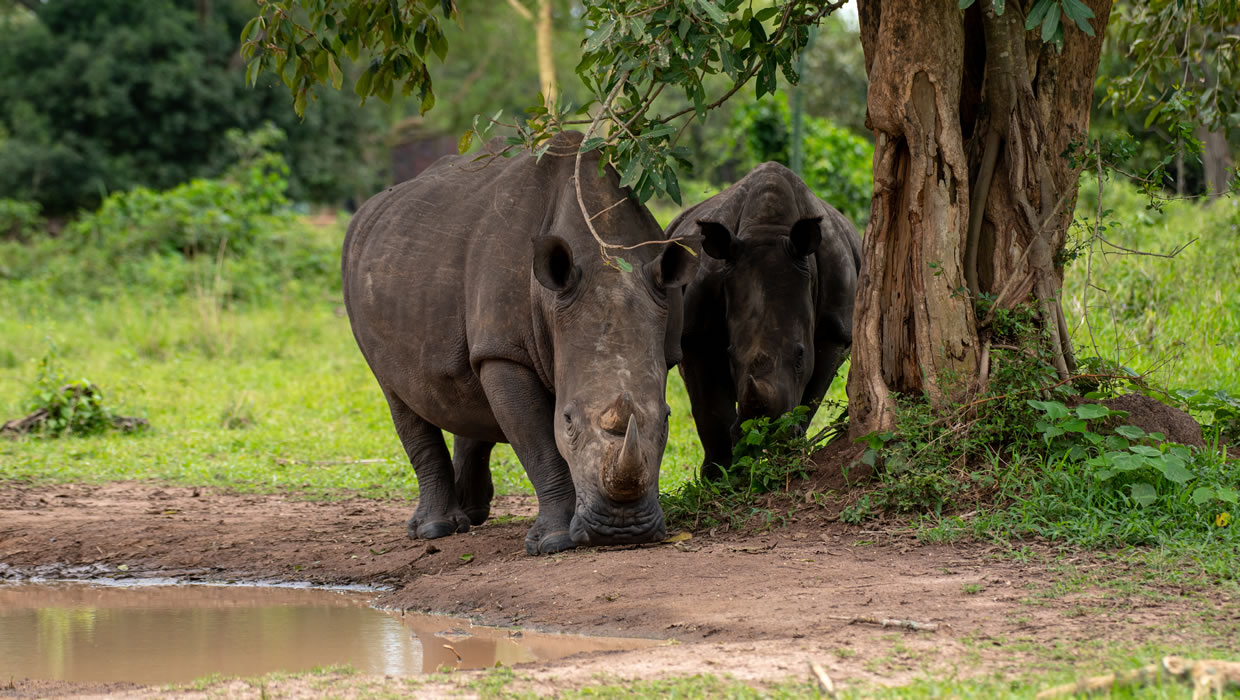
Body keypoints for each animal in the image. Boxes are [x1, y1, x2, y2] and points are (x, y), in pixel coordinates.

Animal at [341, 132, 697, 555]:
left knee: (464, 386)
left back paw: (472, 514)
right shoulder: (505, 353)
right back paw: (434, 530)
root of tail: (368, 210)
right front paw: (555, 543)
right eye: (568, 421)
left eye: (667, 419)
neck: (605, 256)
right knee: (398, 394)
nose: (621, 531)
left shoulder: (667, 343)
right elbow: (539, 443)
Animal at [665, 163, 861, 480]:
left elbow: (812, 397)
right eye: (730, 356)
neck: (768, 229)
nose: (764, 430)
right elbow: (710, 412)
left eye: (800, 356)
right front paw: (719, 476)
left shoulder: (835, 330)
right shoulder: (696, 334)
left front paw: (789, 452)